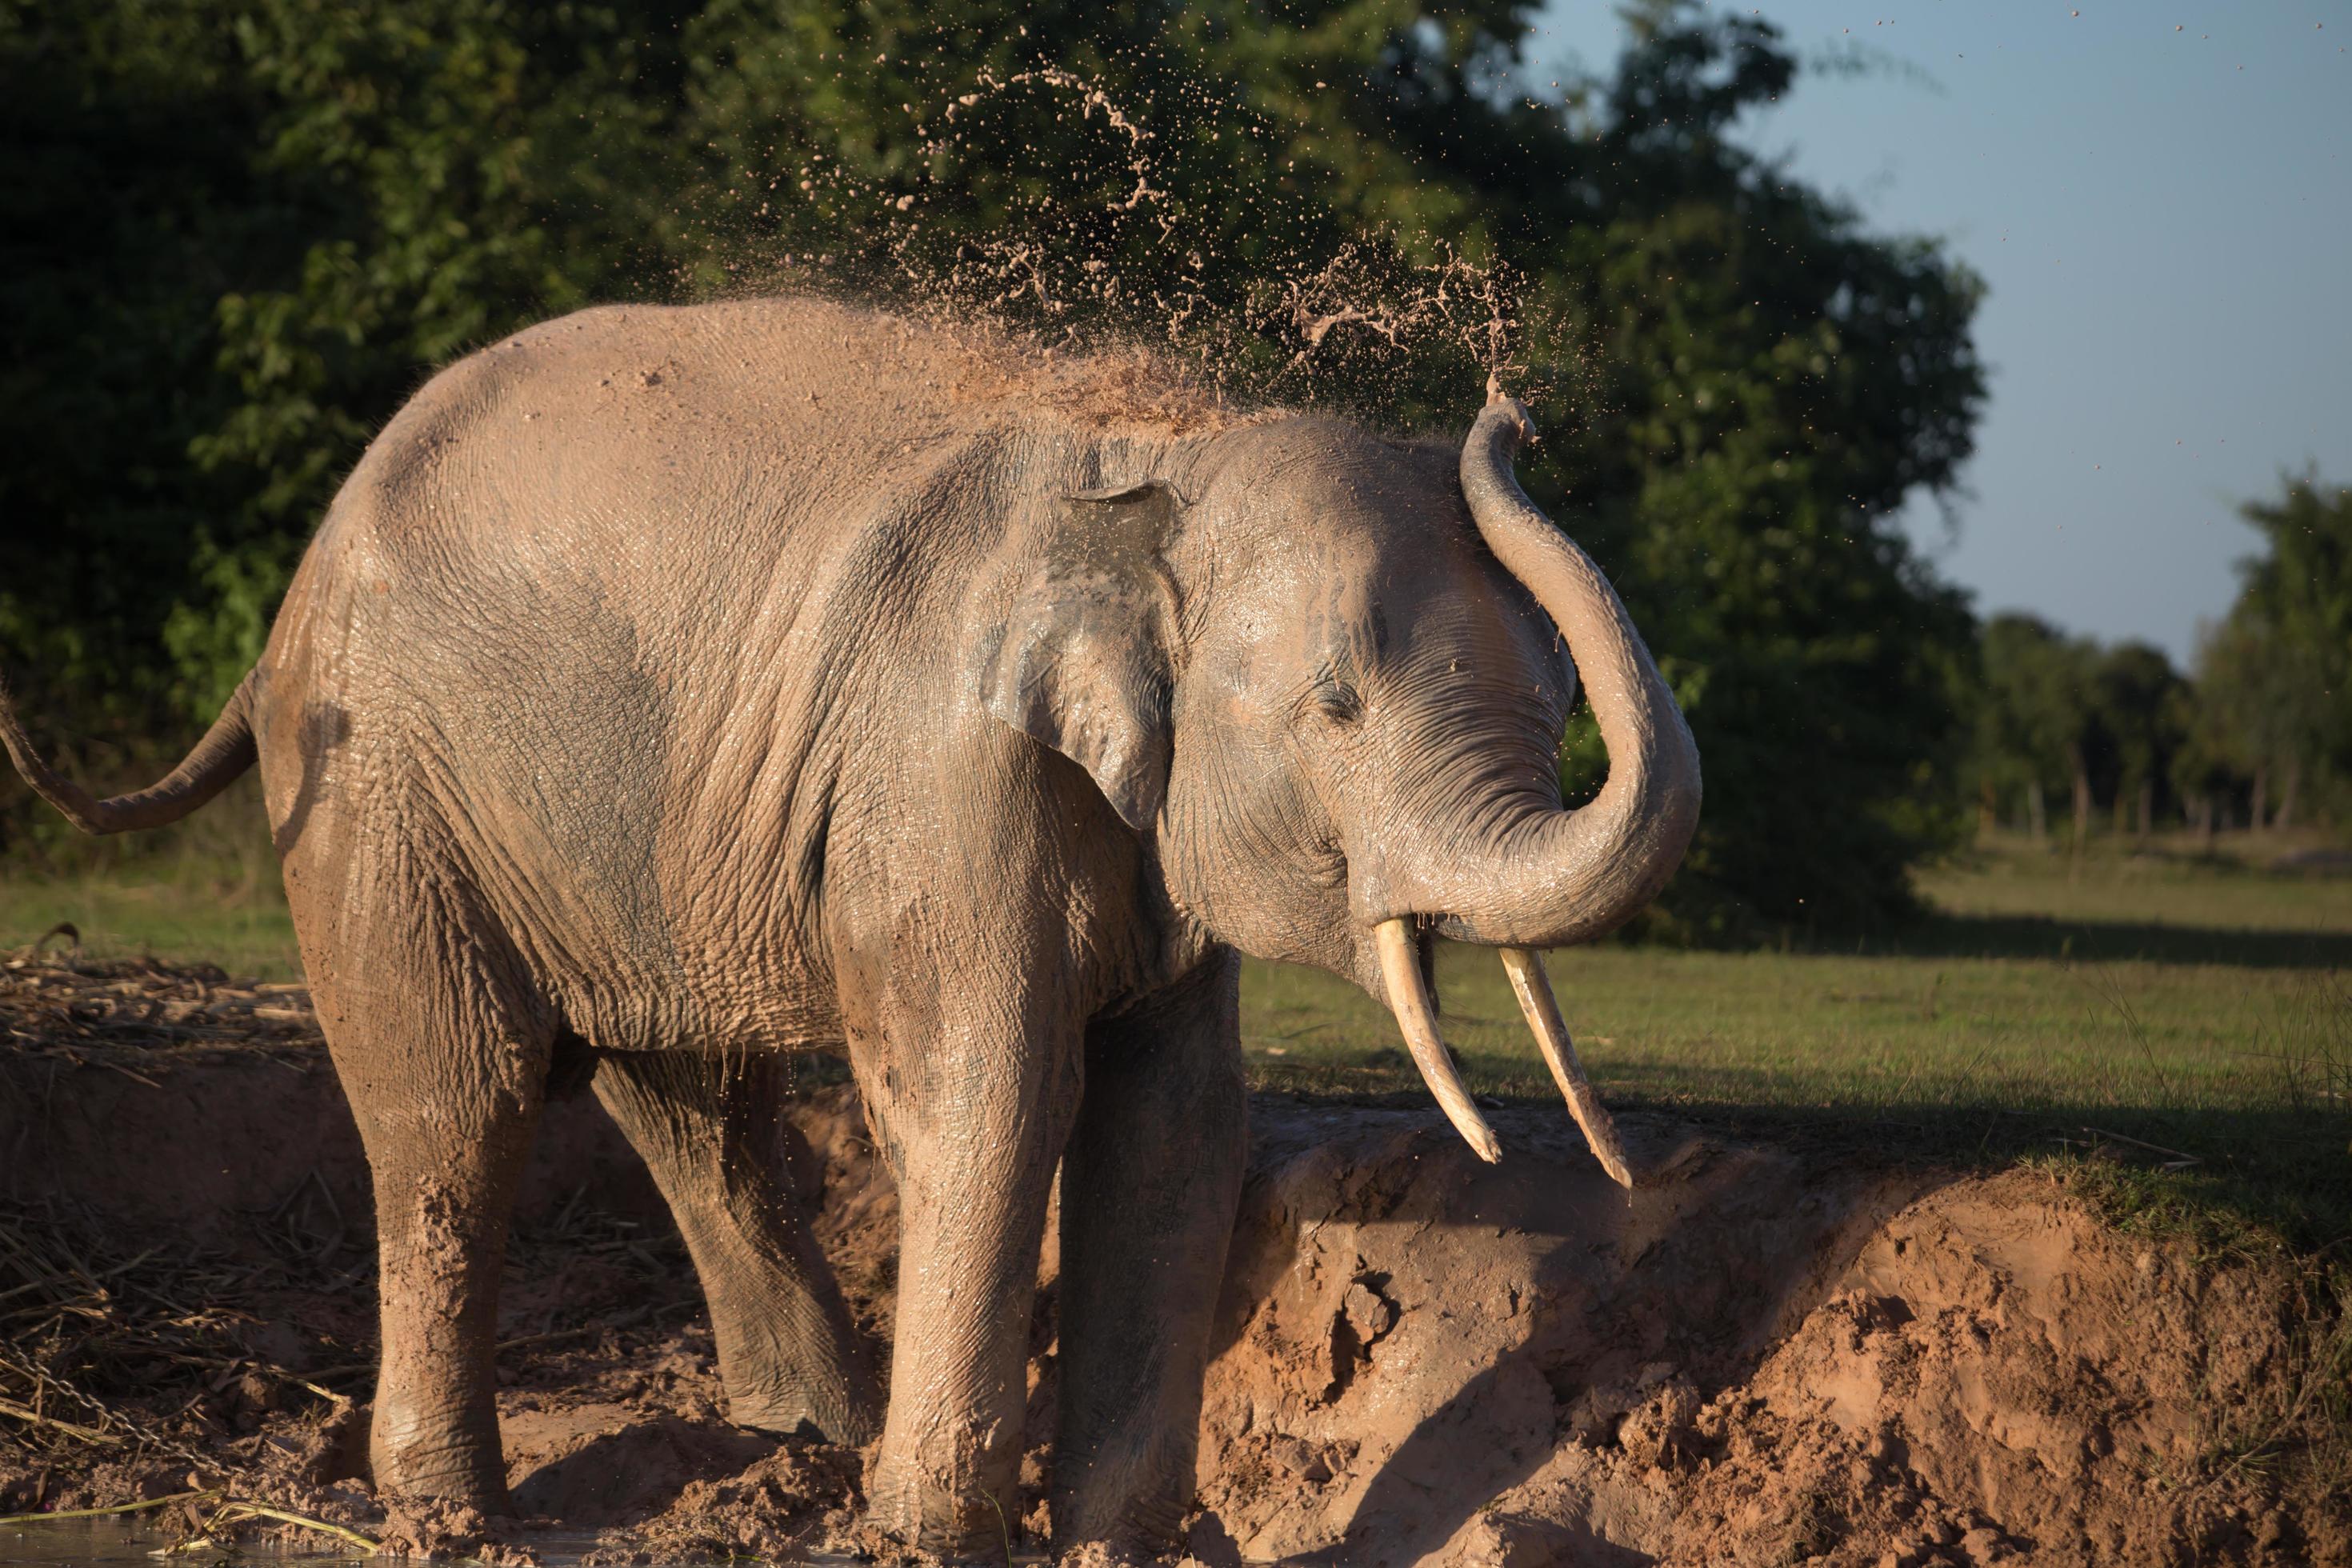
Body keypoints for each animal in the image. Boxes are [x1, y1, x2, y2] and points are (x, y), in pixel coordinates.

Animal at [0, 296, 1698, 1557]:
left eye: (1559, 696)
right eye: (1337, 705)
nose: (1510, 406)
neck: (1156, 459)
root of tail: (291, 600)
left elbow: (1177, 1124)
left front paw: (1127, 1545)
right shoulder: (936, 769)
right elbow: (993, 1091)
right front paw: (934, 1538)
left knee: (695, 1108)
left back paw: (801, 1441)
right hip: (381, 794)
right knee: (454, 1114)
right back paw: (454, 1514)